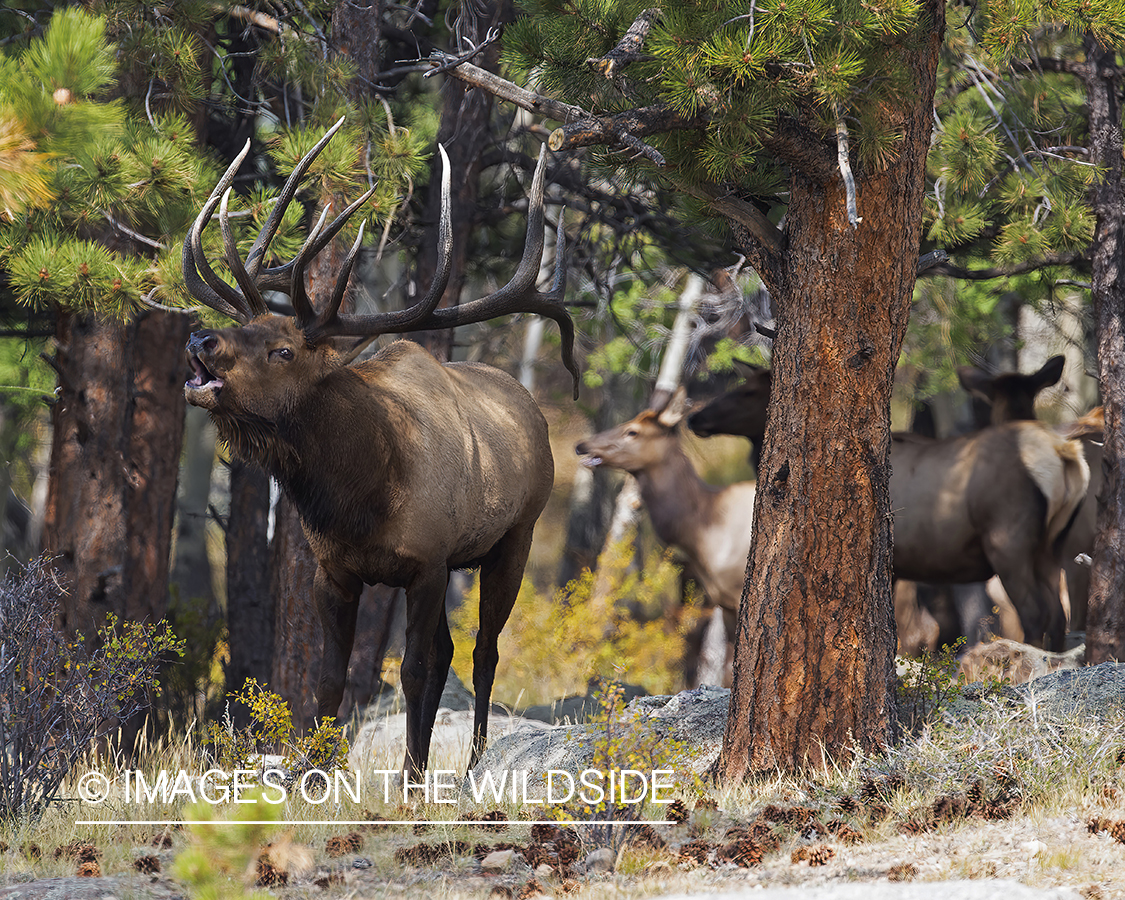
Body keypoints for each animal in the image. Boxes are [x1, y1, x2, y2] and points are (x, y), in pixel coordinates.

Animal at [182, 121, 580, 778]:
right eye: (244, 327)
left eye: (284, 350)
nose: (201, 339)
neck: (362, 496)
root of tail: (535, 412)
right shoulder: (335, 571)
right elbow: (328, 680)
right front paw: (312, 772)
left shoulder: (427, 562)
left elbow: (413, 672)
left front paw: (413, 780)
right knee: (451, 651)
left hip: (514, 540)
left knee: (483, 651)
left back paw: (470, 764)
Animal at [684, 362, 1098, 652]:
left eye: (750, 391)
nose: (695, 416)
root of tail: (1064, 453)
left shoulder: (893, 562)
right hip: (1052, 545)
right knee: (1058, 616)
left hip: (1008, 540)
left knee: (1036, 613)